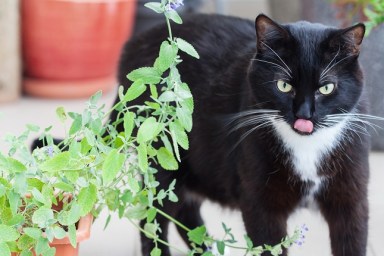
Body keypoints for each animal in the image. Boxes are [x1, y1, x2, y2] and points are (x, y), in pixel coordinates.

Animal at [116, 13, 368, 256]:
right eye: (283, 86)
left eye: (326, 88)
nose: (303, 116)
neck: (306, 148)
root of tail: (134, 43)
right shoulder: (261, 204)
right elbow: (269, 246)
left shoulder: (351, 198)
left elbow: (352, 241)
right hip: (163, 159)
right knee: (153, 219)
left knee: (185, 214)